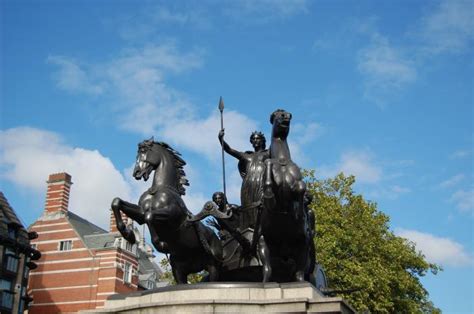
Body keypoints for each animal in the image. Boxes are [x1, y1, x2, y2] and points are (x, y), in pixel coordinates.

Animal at [111, 139, 222, 284]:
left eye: (144, 151)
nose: (136, 172)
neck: (159, 189)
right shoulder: (140, 214)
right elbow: (117, 202)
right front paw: (128, 234)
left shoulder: (172, 217)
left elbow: (149, 216)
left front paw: (161, 244)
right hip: (179, 270)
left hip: (213, 266)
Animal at [260, 110, 314, 282]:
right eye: (278, 114)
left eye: (288, 114)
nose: (286, 117)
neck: (282, 160)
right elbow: (268, 181)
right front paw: (269, 195)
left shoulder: (297, 182)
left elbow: (300, 187)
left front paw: (298, 209)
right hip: (264, 241)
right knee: (267, 268)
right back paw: (266, 281)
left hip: (302, 243)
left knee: (299, 272)